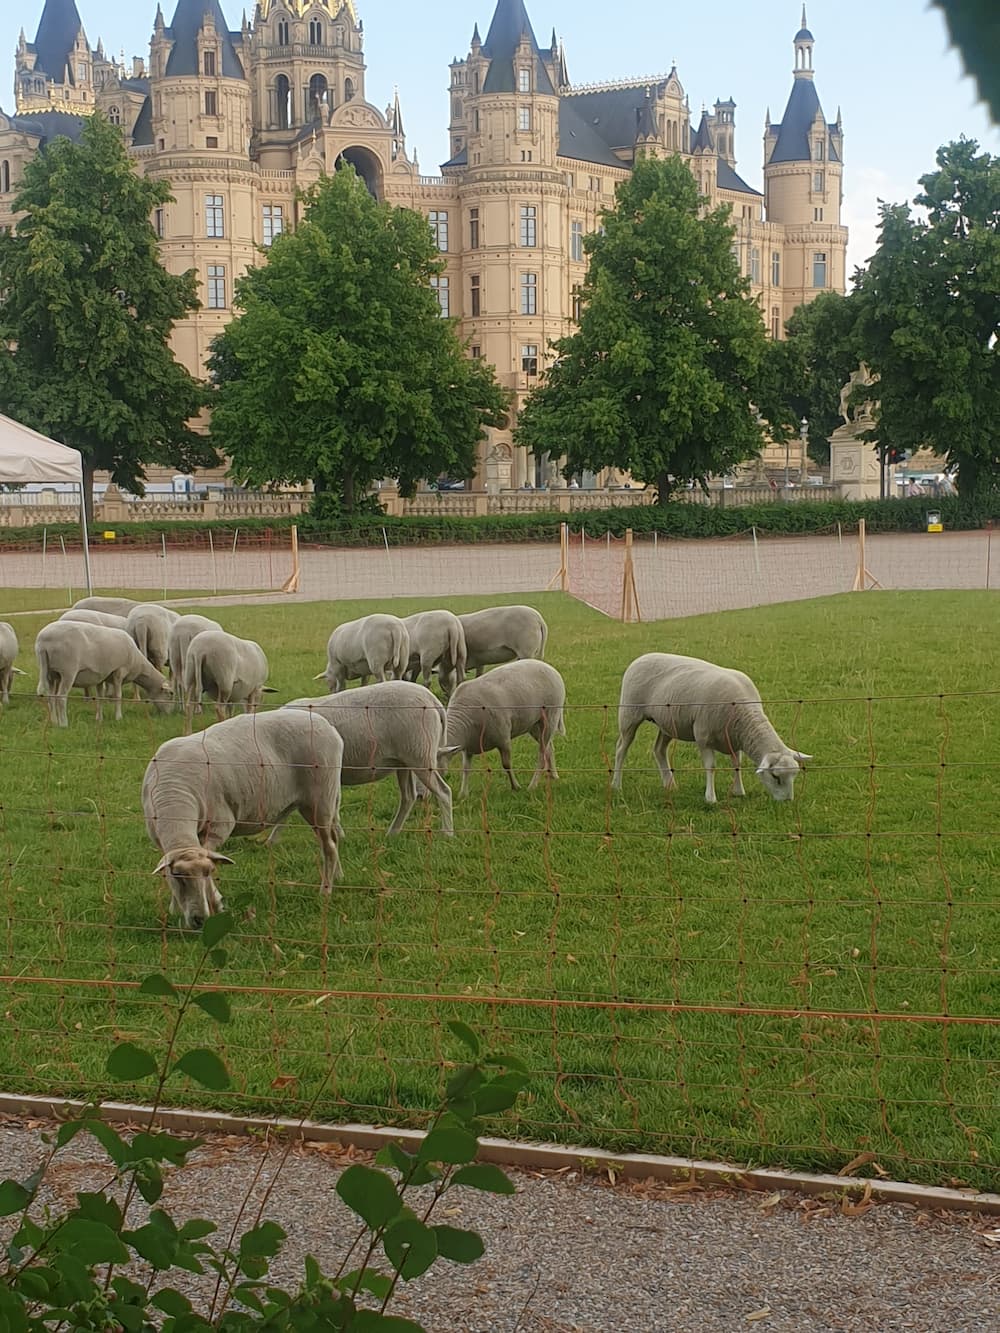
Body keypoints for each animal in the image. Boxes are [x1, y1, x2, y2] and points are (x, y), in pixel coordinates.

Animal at [34, 618, 173, 725]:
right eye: (170, 694)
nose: (169, 715)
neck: (137, 664)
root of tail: (42, 643)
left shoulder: (101, 676)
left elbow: (100, 697)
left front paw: (99, 719)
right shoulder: (119, 671)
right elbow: (118, 696)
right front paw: (118, 717)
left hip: (51, 674)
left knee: (51, 696)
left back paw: (54, 722)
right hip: (68, 671)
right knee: (61, 697)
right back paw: (63, 724)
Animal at [141, 709, 344, 927]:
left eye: (208, 872)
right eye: (178, 876)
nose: (199, 920)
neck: (174, 795)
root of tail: (329, 728)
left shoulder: (219, 826)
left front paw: (217, 904)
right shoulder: (163, 842)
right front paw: (174, 908)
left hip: (319, 799)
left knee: (329, 846)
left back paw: (325, 890)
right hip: (326, 800)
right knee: (332, 839)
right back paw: (338, 876)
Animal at [282, 687, 453, 831]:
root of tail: (432, 700)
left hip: (420, 755)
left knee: (443, 791)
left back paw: (447, 833)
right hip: (405, 760)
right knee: (408, 796)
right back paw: (392, 834)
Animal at [445, 658, 565, 794]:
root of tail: (550, 668)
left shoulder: (503, 739)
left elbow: (506, 765)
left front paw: (515, 787)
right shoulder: (468, 747)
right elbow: (466, 768)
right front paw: (463, 793)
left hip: (550, 717)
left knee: (542, 756)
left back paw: (532, 786)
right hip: (534, 725)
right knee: (549, 748)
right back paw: (554, 775)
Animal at [610, 653, 816, 799]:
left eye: (794, 776)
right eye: (775, 777)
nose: (787, 801)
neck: (743, 713)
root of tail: (641, 657)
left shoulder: (735, 739)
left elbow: (737, 765)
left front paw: (738, 791)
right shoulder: (703, 737)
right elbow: (711, 766)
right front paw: (710, 798)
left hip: (667, 722)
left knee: (659, 750)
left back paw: (670, 785)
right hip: (629, 714)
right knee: (621, 748)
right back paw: (616, 785)